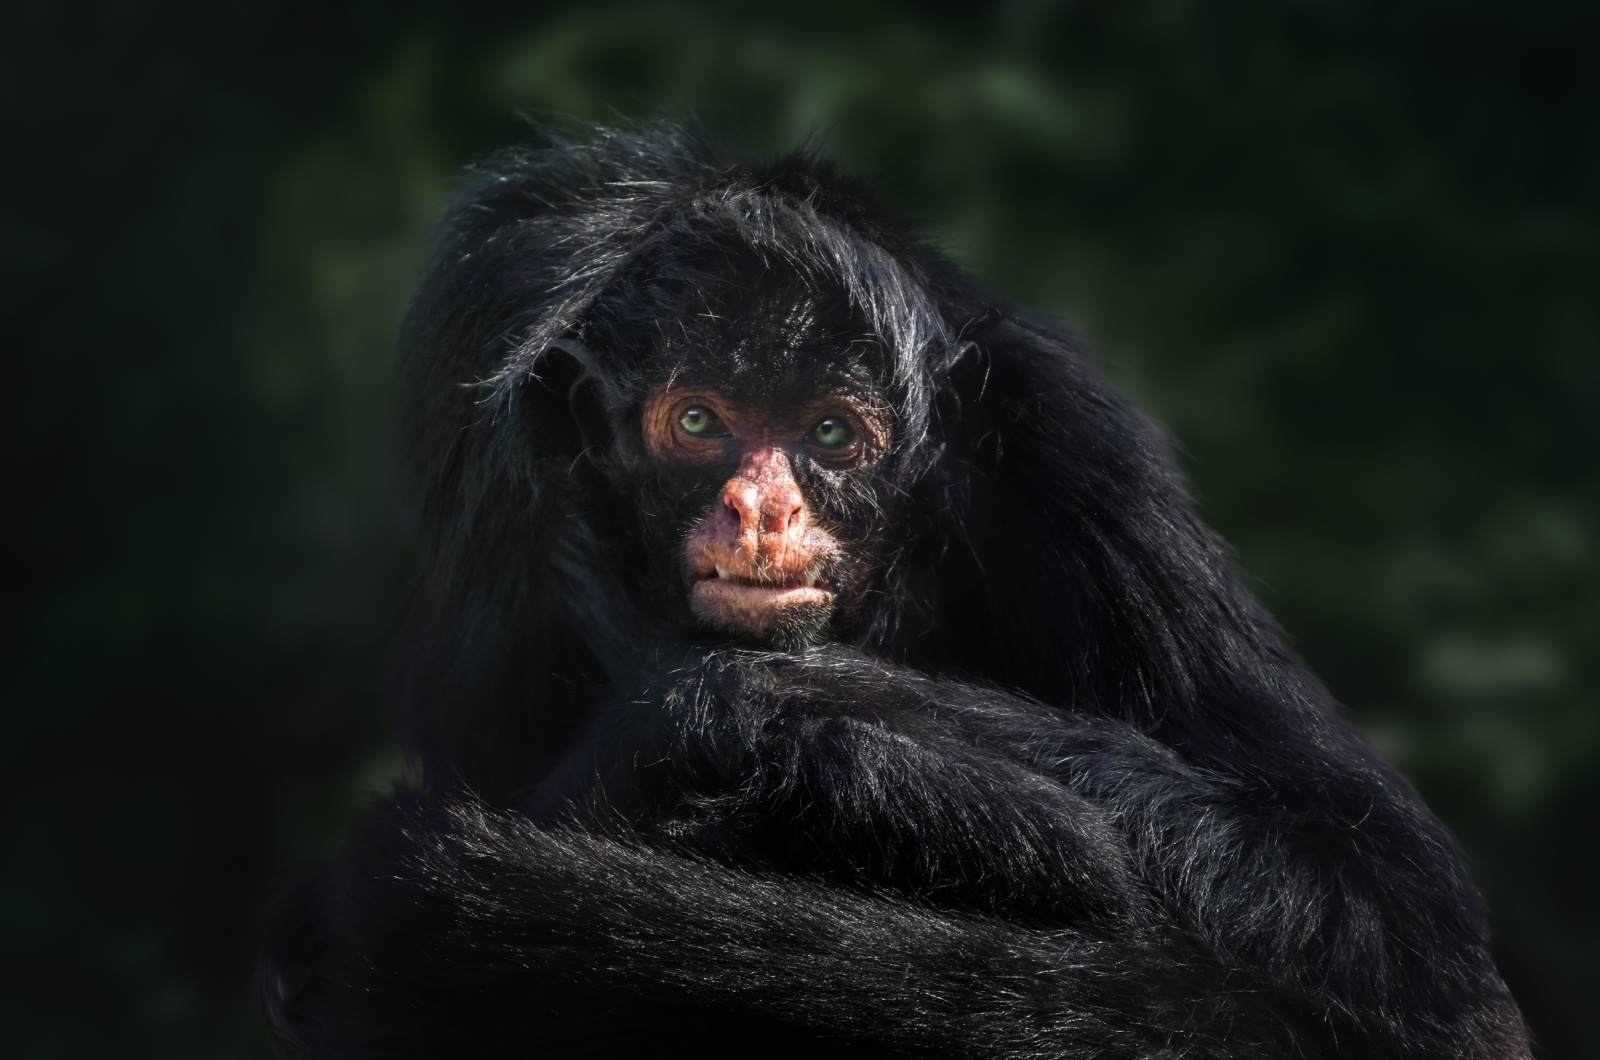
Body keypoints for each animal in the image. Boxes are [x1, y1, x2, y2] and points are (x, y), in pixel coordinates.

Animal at [259, 126, 1523, 1060]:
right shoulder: (501, 522)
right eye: (699, 421)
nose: (761, 509)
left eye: (829, 435)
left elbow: (1391, 913)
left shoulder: (1072, 452)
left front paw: (760, 715)